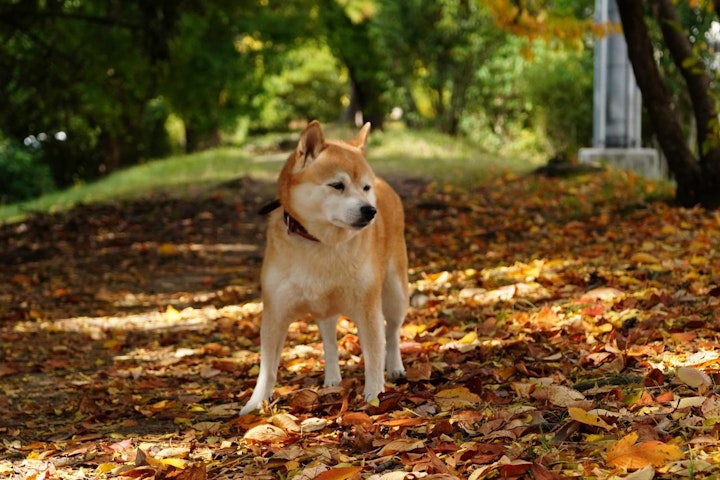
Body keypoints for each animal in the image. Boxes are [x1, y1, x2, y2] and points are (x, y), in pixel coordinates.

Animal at [239, 121, 408, 416]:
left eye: (365, 187)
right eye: (337, 185)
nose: (369, 210)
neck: (321, 243)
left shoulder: (368, 309)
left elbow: (374, 355)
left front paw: (375, 395)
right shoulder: (275, 313)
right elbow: (267, 369)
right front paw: (255, 403)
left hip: (395, 293)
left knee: (392, 333)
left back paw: (396, 367)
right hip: (325, 309)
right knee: (329, 341)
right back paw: (332, 379)